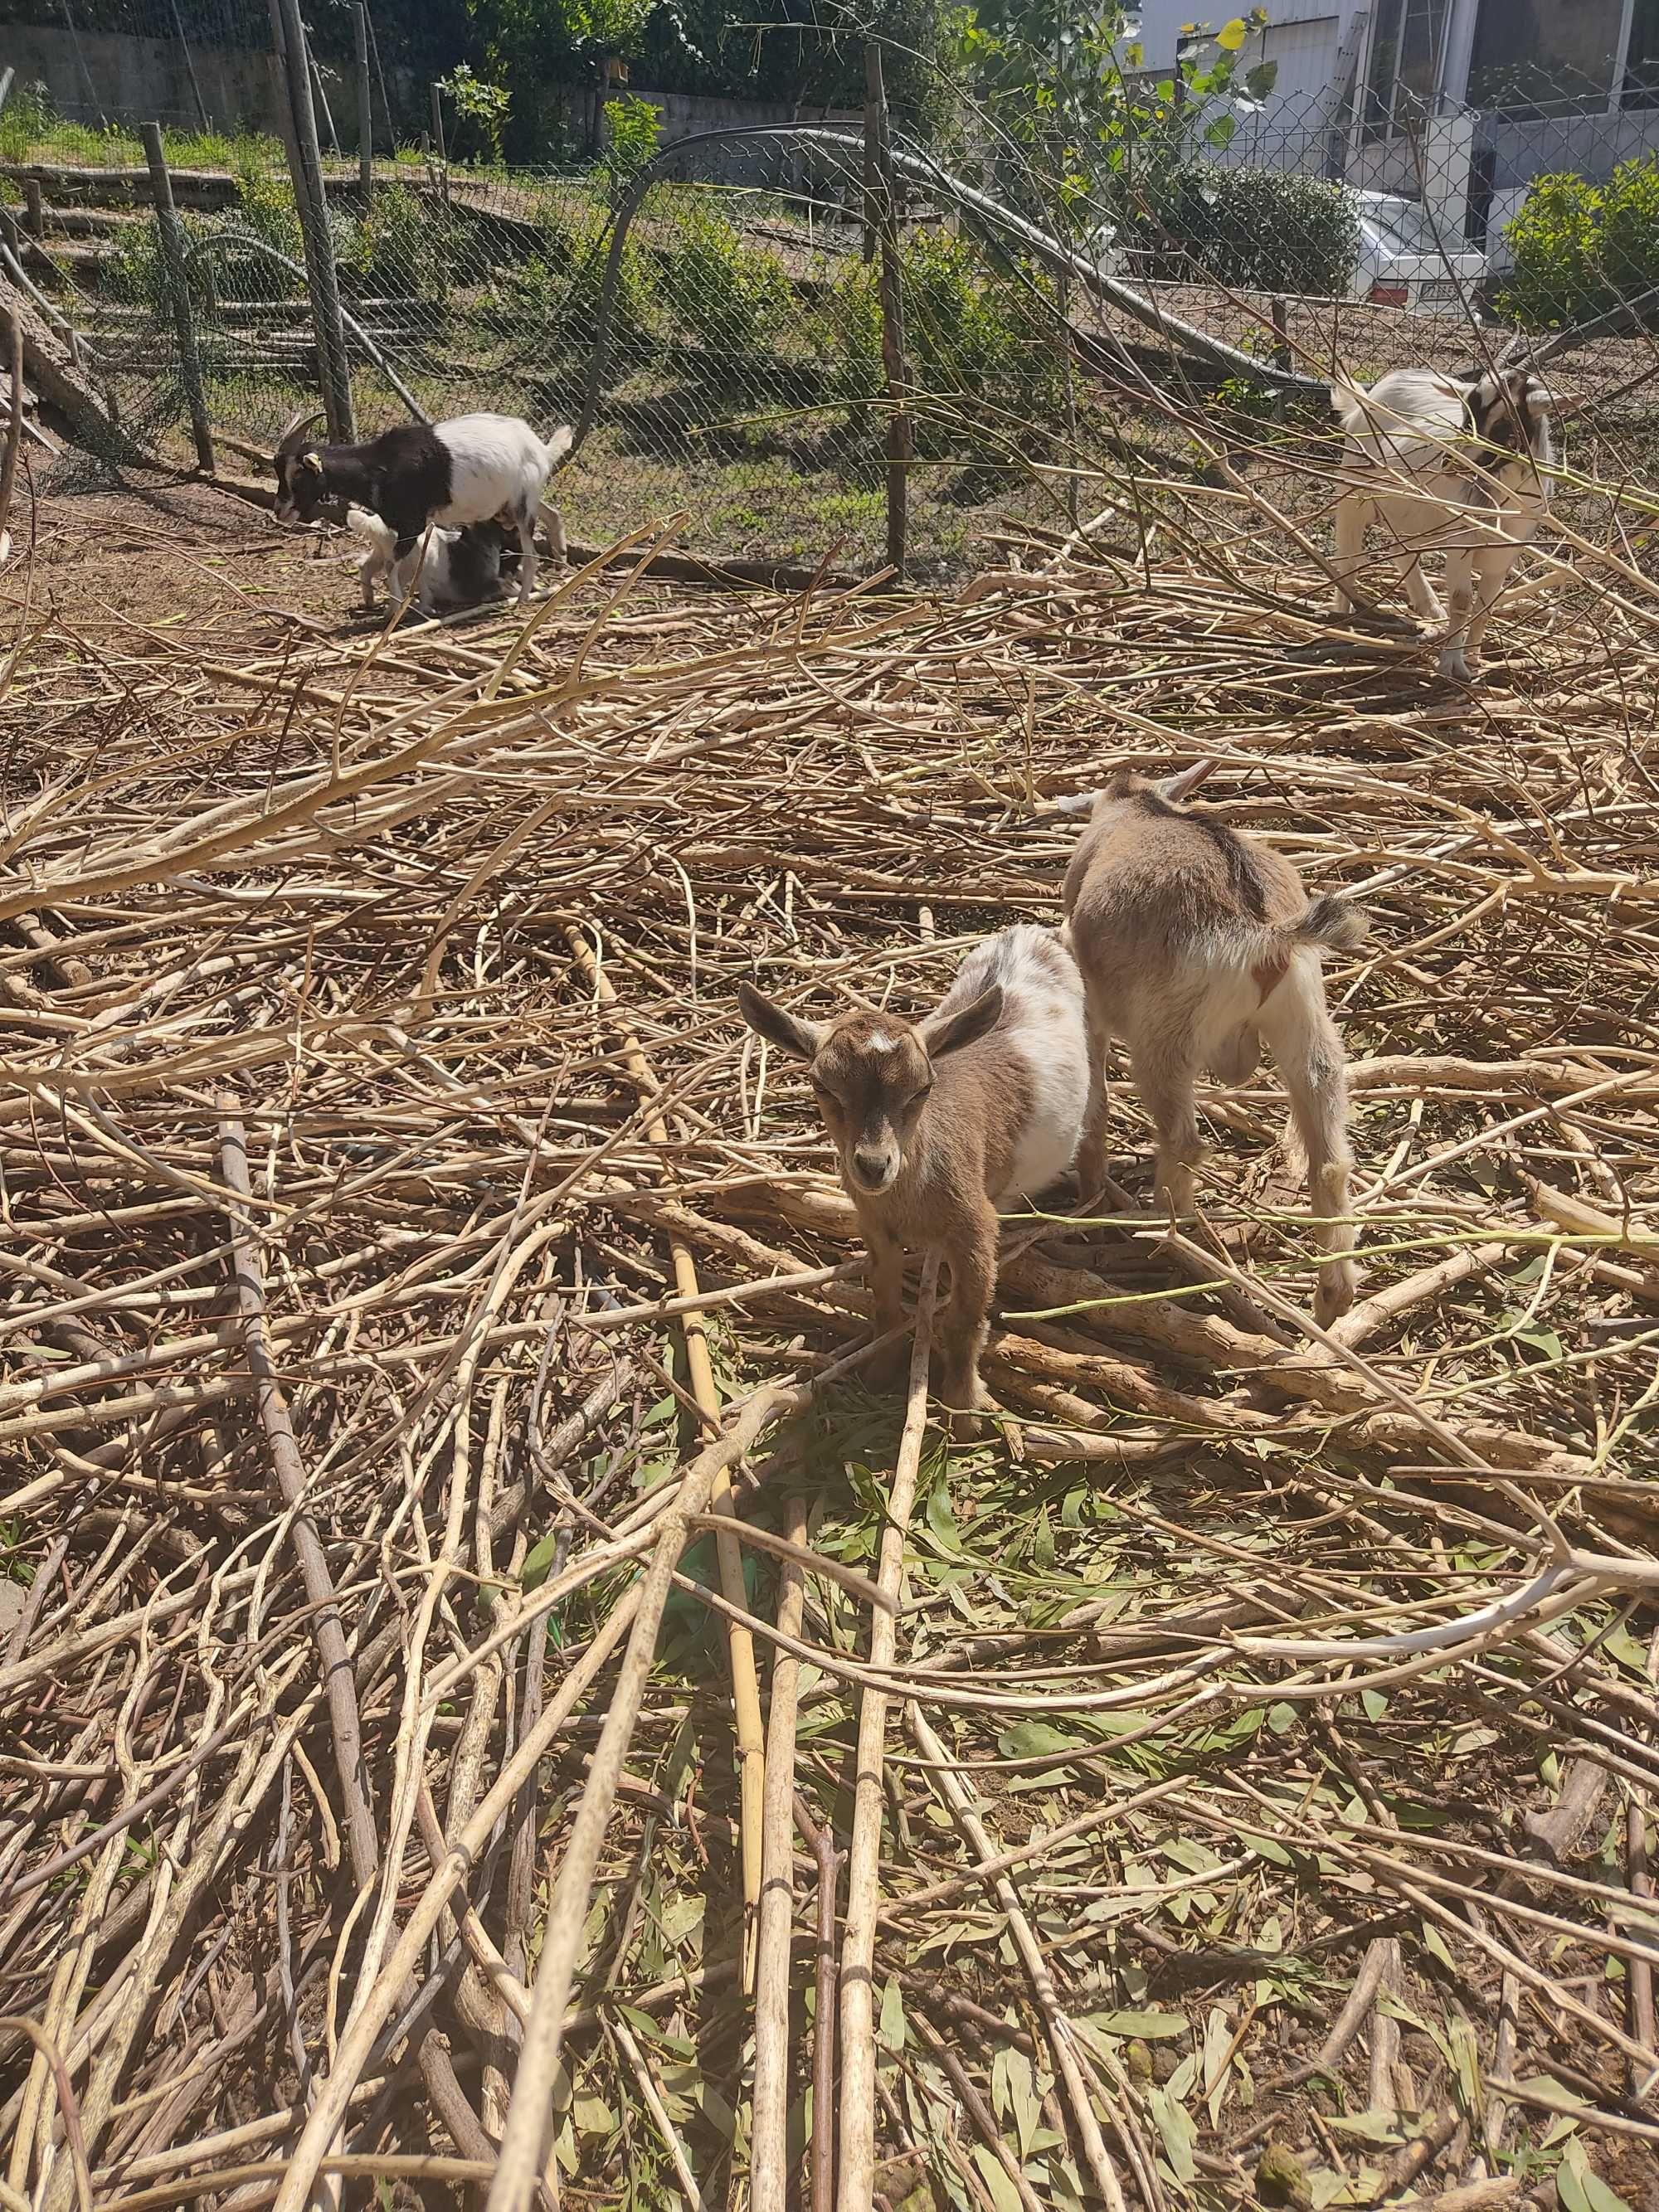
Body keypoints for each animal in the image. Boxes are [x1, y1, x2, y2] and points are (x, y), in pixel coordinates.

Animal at [276, 411, 575, 605]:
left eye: (298, 474)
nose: (280, 511)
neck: (379, 466)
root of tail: (540, 448)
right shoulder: (404, 524)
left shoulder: (413, 523)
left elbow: (392, 563)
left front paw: (395, 607)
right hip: (514, 502)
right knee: (552, 515)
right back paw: (560, 561)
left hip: (522, 505)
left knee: (531, 552)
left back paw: (523, 598)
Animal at [1335, 367, 1557, 677]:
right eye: (1466, 412)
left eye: (1507, 422)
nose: (1452, 463)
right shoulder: (1461, 543)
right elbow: (1462, 599)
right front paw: (1451, 664)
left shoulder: (1503, 554)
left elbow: (1485, 606)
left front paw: (1473, 658)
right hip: (1354, 492)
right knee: (1349, 559)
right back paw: (1343, 620)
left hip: (1414, 512)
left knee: (1401, 550)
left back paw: (1430, 607)